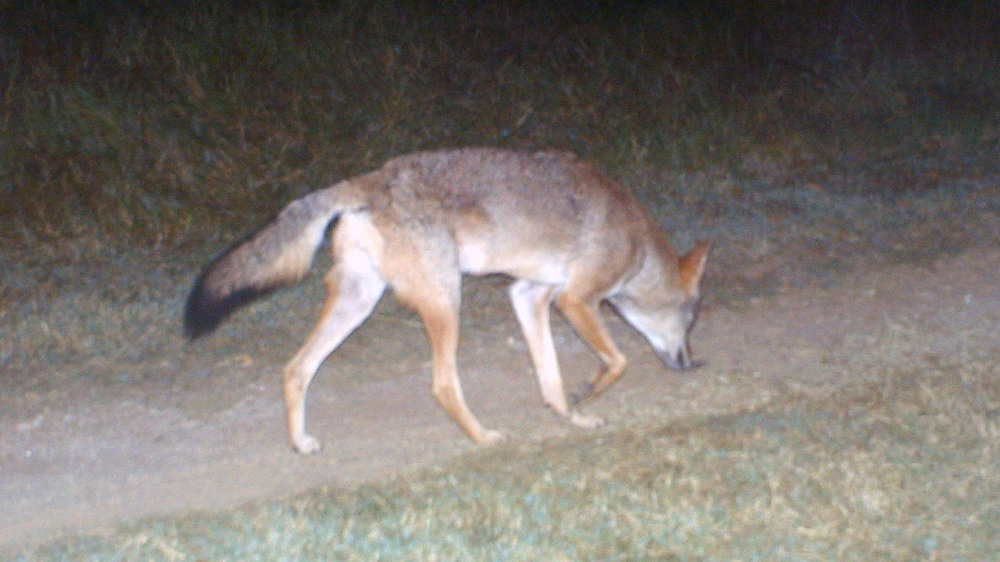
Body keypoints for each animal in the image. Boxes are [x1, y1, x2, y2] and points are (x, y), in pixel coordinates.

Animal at [184, 148, 709, 454]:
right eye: (691, 320)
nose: (691, 363)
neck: (639, 245)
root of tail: (372, 177)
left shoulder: (529, 296)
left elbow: (551, 381)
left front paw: (572, 416)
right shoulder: (576, 301)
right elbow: (618, 362)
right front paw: (588, 393)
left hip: (359, 303)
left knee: (296, 369)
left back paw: (300, 442)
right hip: (446, 301)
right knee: (442, 385)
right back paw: (483, 438)